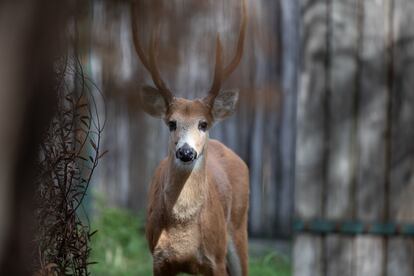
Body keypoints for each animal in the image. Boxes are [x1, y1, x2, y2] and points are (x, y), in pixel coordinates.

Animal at [132, 1, 249, 274]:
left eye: (203, 123)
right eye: (171, 123)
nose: (186, 152)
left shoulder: (215, 260)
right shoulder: (159, 261)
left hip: (239, 227)